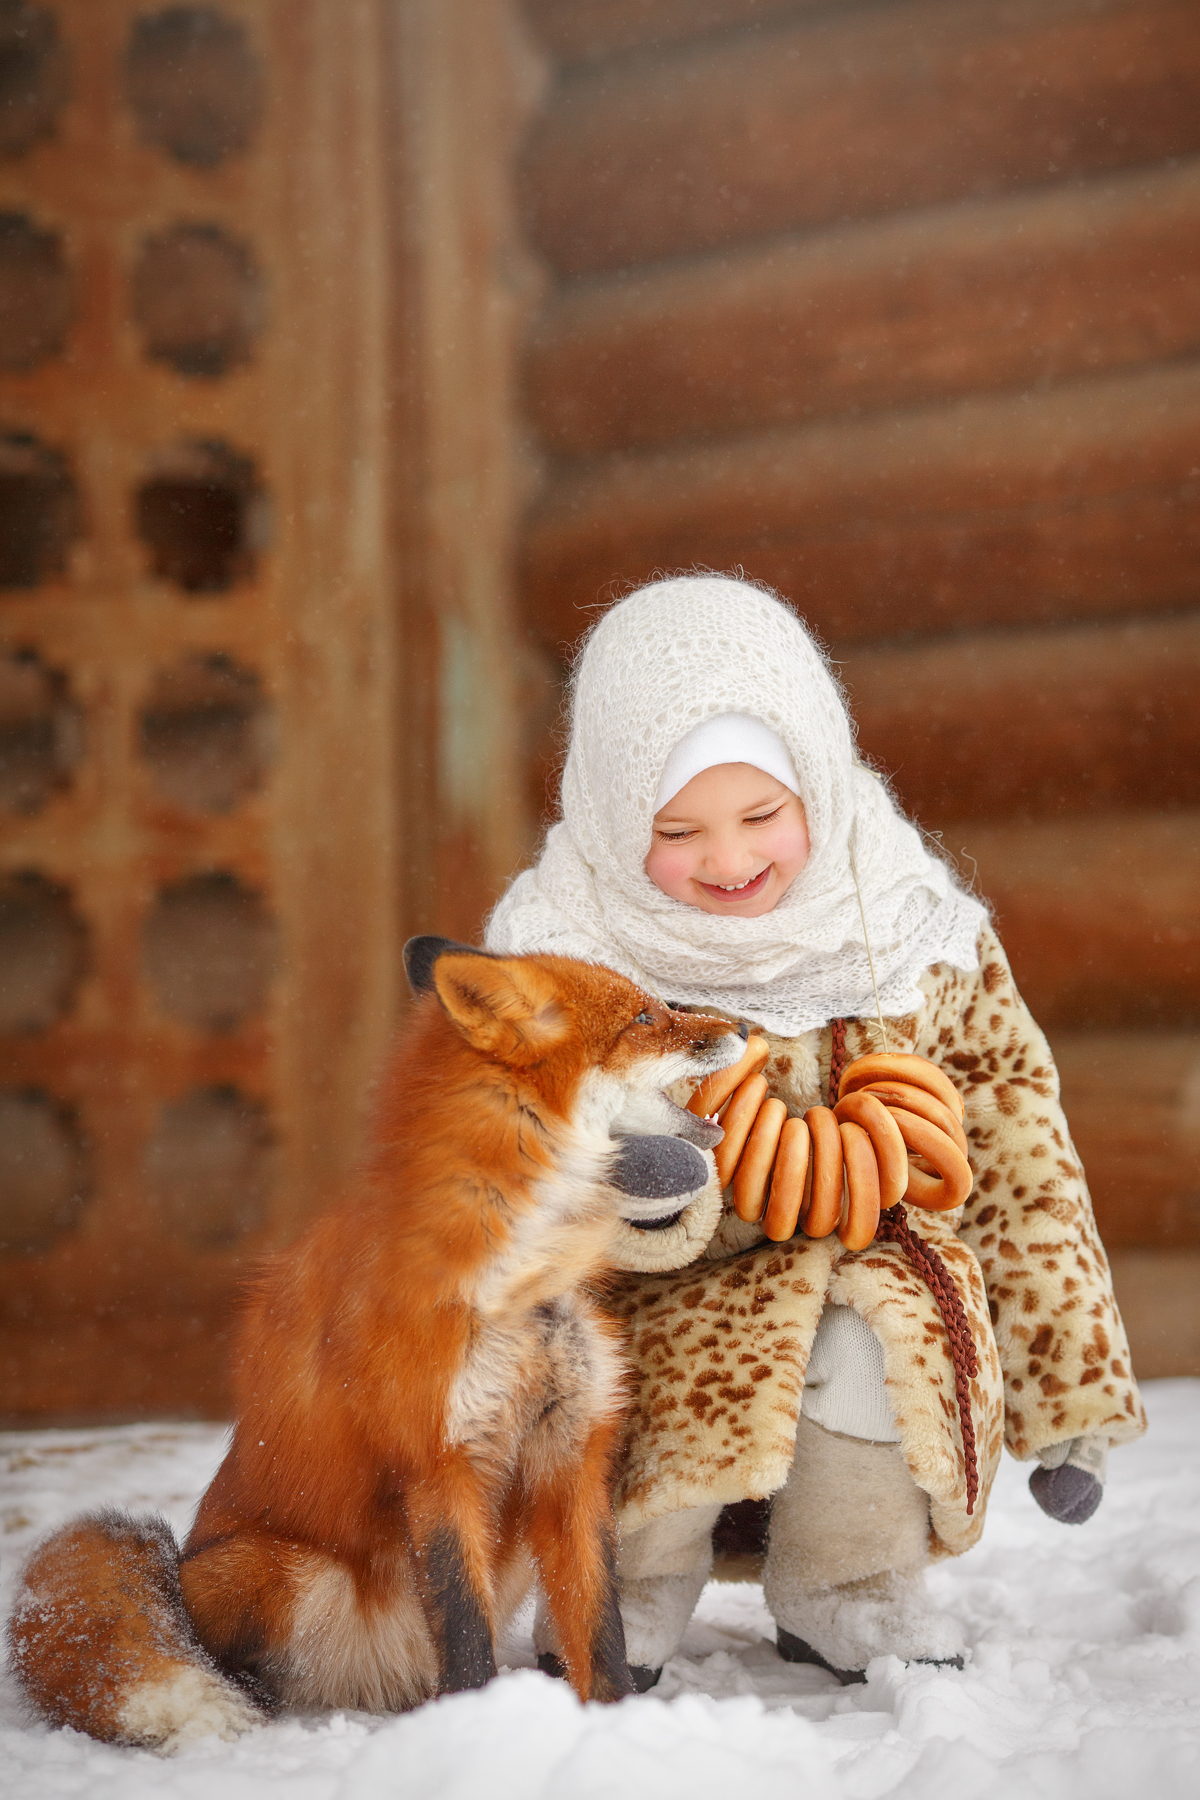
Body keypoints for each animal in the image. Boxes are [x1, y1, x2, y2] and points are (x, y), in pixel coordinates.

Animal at [7, 950, 741, 1749]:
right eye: (644, 1016)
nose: (743, 1027)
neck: (521, 1278)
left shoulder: (569, 1453)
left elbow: (600, 1631)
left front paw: (613, 1730)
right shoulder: (438, 1461)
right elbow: (465, 1630)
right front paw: (479, 1727)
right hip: (279, 1568)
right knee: (219, 1662)